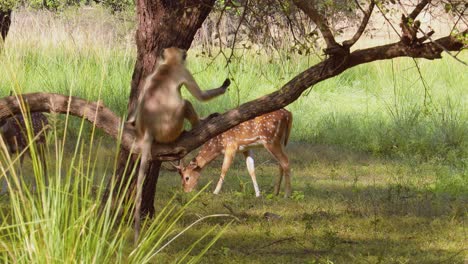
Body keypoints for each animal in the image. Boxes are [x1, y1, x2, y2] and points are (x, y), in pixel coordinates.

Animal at [132, 47, 230, 243]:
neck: (168, 64)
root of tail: (149, 129)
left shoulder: (153, 72)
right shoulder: (184, 71)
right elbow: (199, 95)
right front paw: (224, 87)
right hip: (172, 128)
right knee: (185, 103)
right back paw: (199, 124)